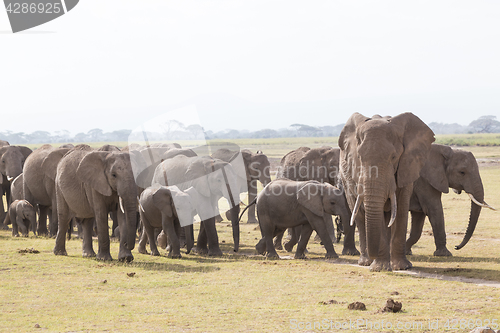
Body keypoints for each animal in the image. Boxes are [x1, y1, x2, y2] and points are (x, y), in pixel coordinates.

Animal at [338, 113, 436, 272]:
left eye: (394, 157)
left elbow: (401, 210)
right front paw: (380, 268)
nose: (373, 256)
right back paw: (366, 262)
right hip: (346, 181)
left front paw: (402, 267)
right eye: (359, 158)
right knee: (360, 216)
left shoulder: (407, 167)